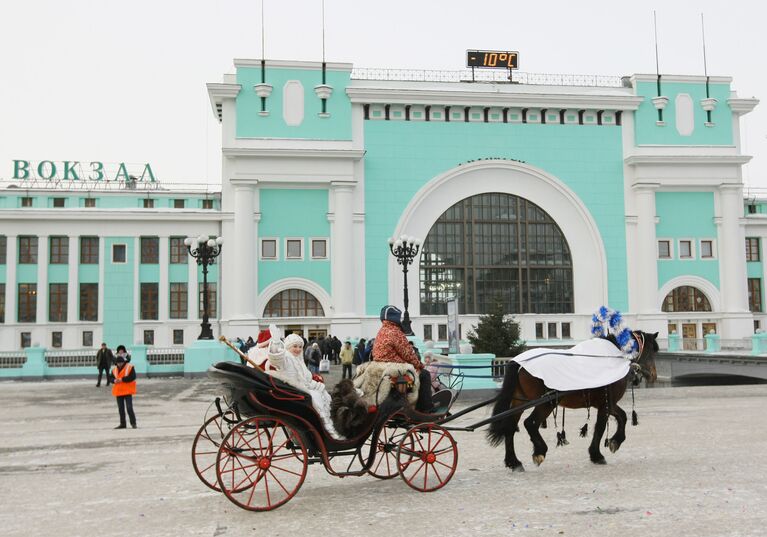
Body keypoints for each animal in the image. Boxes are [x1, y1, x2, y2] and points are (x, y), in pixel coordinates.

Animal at [486, 330, 660, 468]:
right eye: (653, 350)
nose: (653, 375)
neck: (611, 356)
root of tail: (520, 363)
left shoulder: (607, 404)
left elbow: (622, 417)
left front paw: (614, 442)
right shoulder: (606, 403)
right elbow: (601, 427)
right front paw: (597, 454)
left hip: (520, 402)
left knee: (509, 428)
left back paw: (513, 462)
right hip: (547, 403)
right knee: (530, 423)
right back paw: (539, 451)